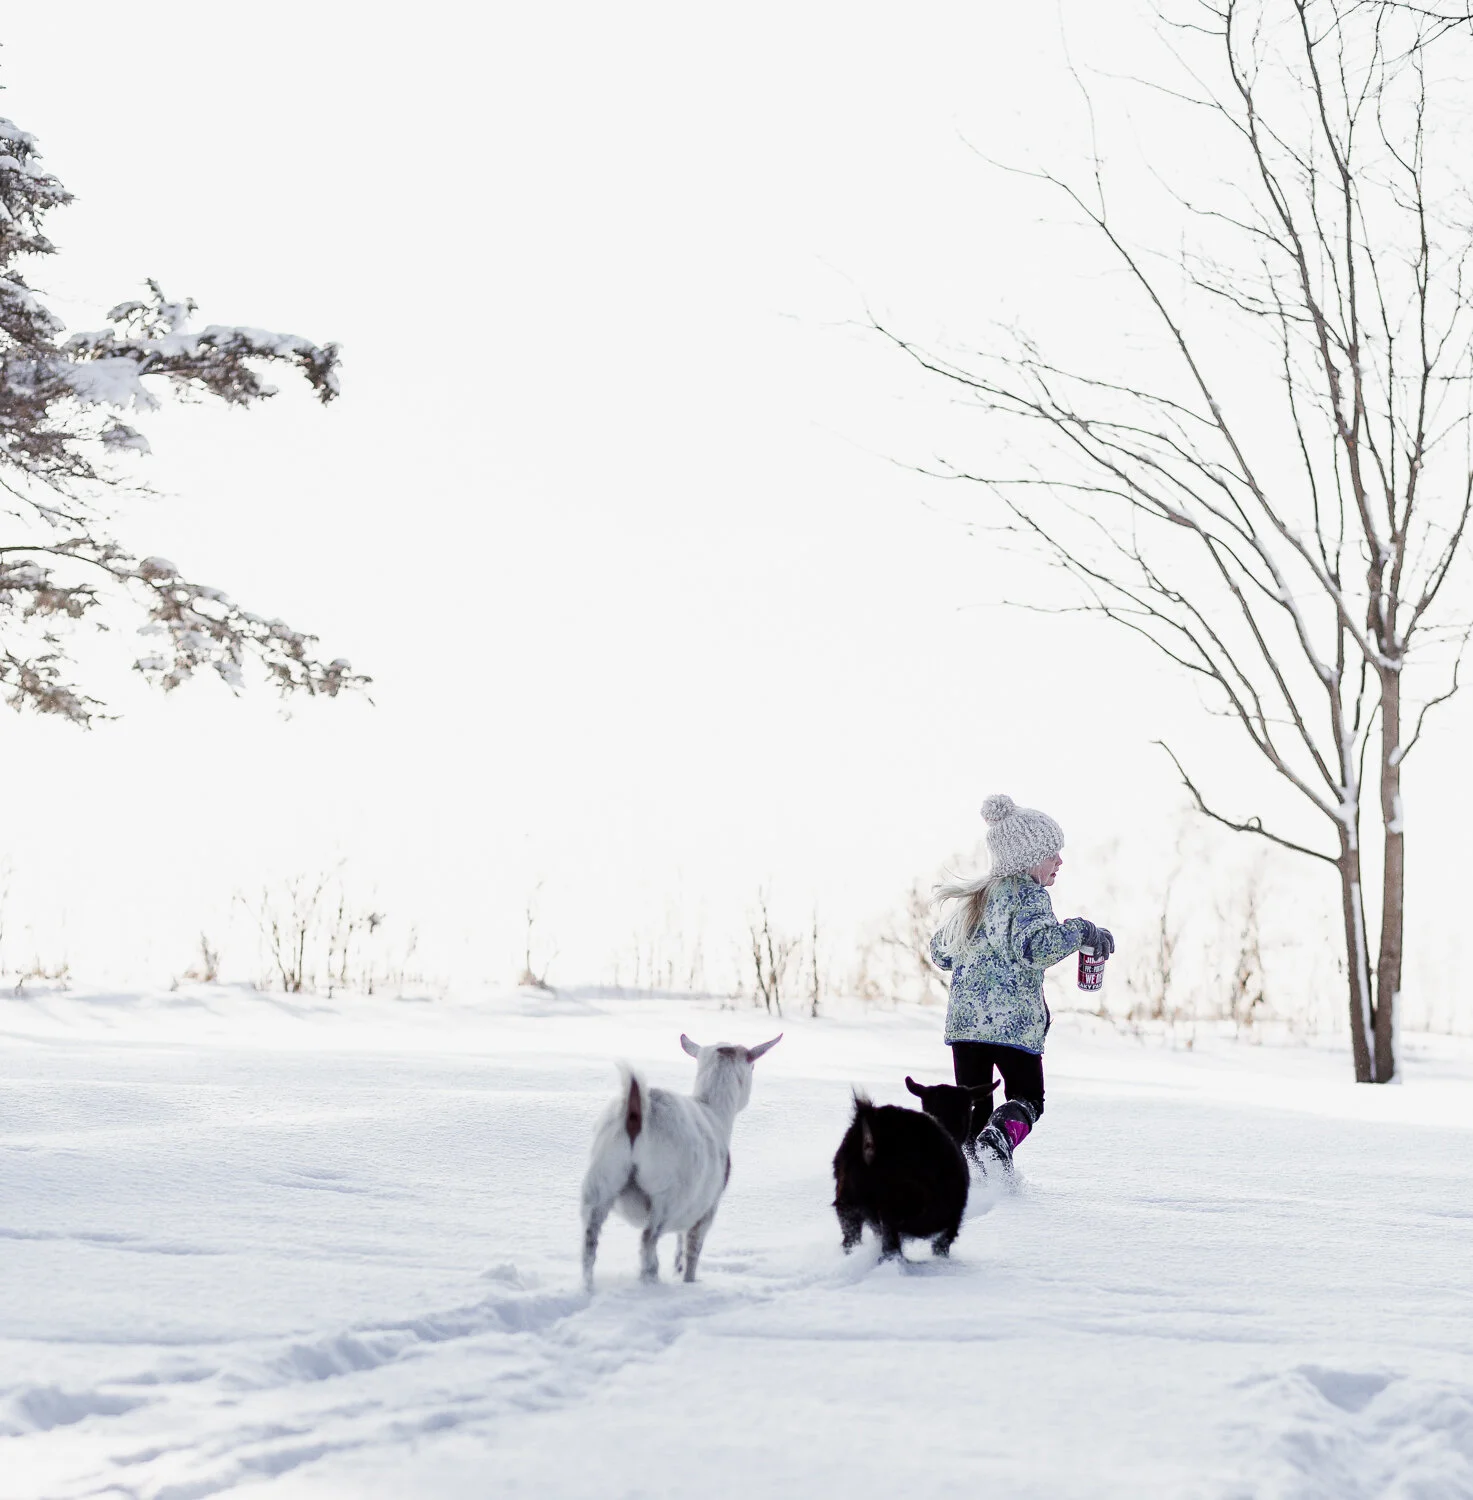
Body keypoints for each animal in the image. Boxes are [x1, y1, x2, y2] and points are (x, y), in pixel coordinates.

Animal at [581, 1032, 781, 1291]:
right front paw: (689, 1280)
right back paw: (651, 1282)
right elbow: (693, 1248)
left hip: (601, 1179)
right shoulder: (706, 1208)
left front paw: (676, 1268)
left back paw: (588, 1287)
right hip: (666, 1196)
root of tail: (638, 1113)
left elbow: (679, 1242)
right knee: (648, 1240)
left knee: (590, 1240)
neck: (711, 1108)